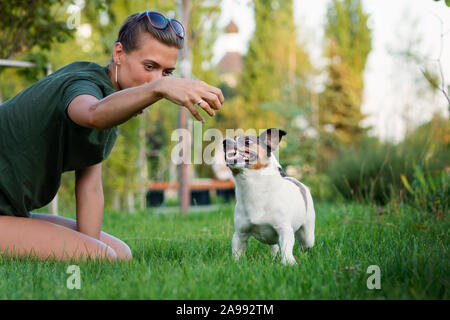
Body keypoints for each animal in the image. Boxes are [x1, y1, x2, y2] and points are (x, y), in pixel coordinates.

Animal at [222, 128, 314, 264]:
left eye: (247, 141)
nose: (224, 142)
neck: (254, 187)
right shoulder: (240, 234)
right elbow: (237, 253)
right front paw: (236, 263)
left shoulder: (285, 230)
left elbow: (286, 248)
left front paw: (289, 263)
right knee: (274, 247)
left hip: (307, 236)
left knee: (305, 246)